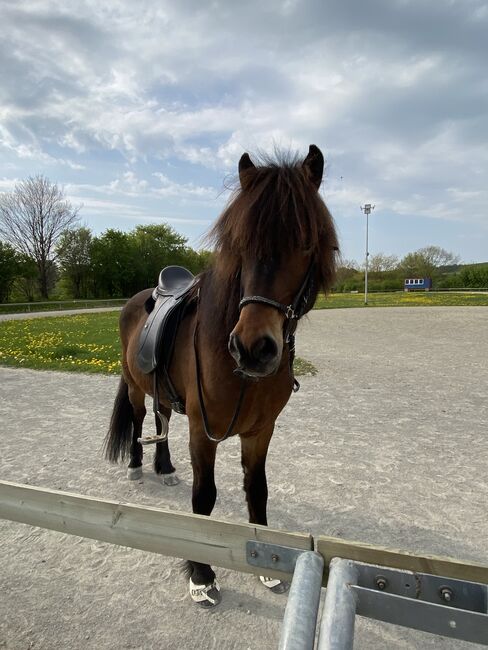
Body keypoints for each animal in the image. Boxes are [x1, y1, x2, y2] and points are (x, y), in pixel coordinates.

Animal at [104, 144, 338, 604]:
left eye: (306, 241)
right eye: (241, 243)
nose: (252, 348)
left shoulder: (260, 431)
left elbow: (257, 490)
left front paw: (265, 567)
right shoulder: (203, 430)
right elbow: (204, 498)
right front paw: (201, 573)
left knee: (161, 418)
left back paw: (164, 468)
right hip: (136, 386)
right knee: (140, 419)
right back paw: (139, 467)